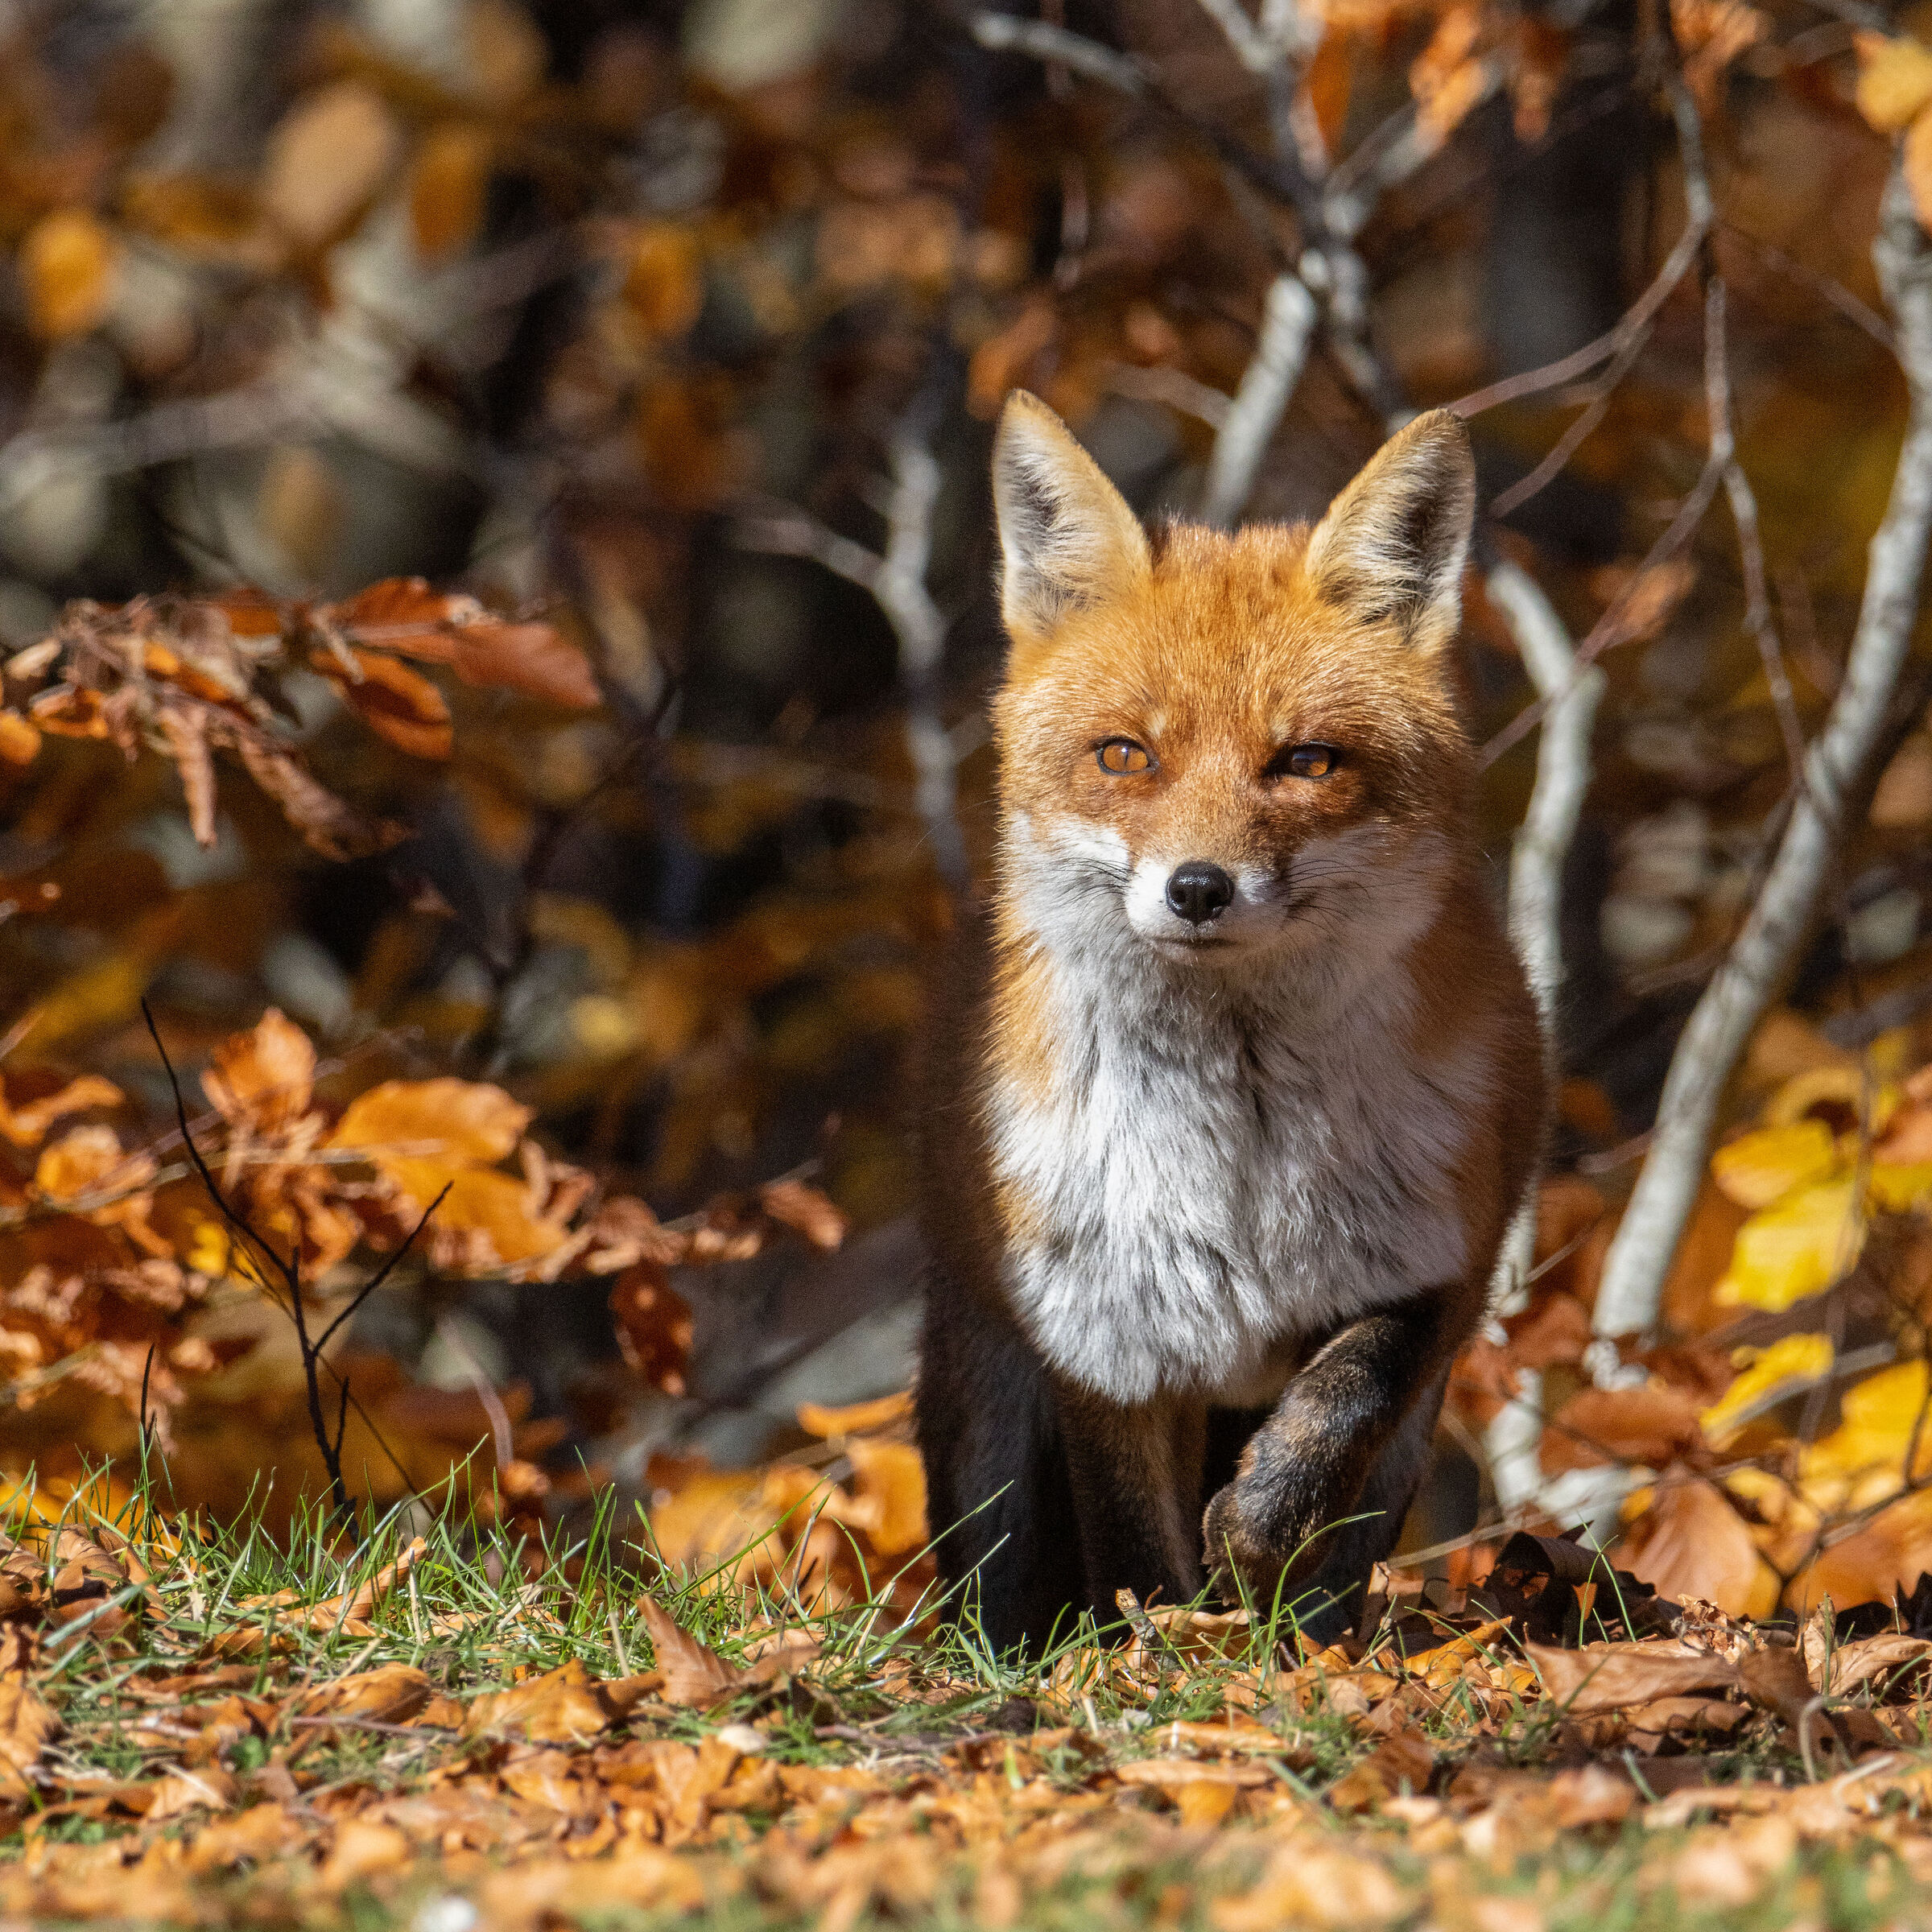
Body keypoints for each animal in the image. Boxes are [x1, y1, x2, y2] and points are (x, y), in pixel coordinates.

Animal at [914, 391, 1547, 1653]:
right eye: (1125, 755)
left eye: (1305, 761)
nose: (1199, 888)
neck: (1235, 1160)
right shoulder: (1105, 1337)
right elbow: (1135, 1552)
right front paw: (1162, 1650)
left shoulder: (1435, 1263)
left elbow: (1328, 1424)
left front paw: (1257, 1558)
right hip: (988, 1426)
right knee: (999, 1581)